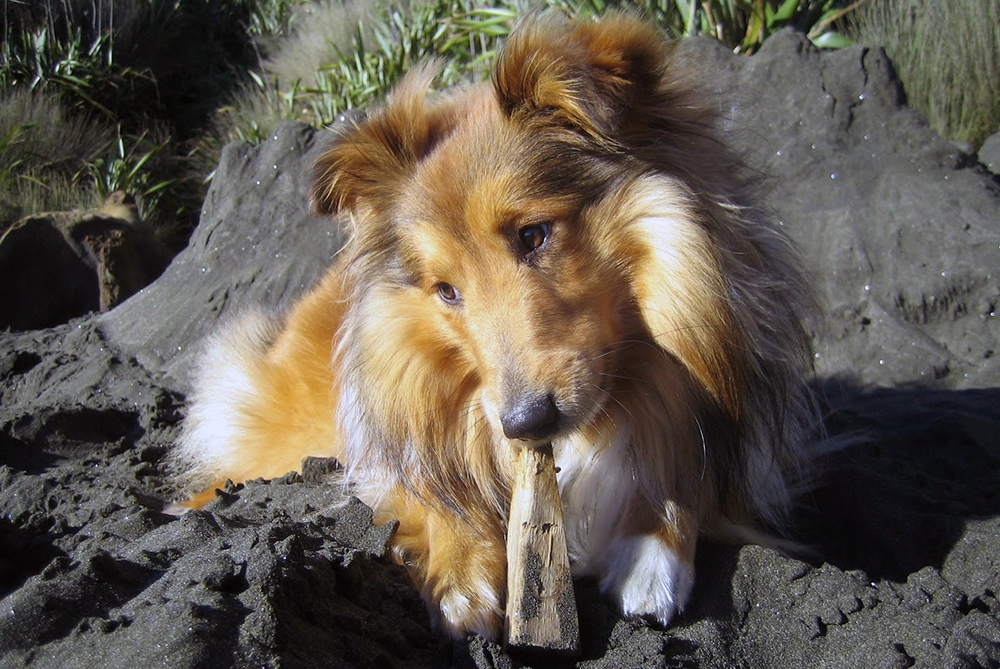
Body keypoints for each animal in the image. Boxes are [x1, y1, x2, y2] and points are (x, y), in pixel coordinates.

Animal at [172, 13, 816, 640]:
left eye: (533, 234)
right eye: (446, 290)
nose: (526, 423)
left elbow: (686, 462)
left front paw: (652, 546)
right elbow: (432, 490)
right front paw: (460, 573)